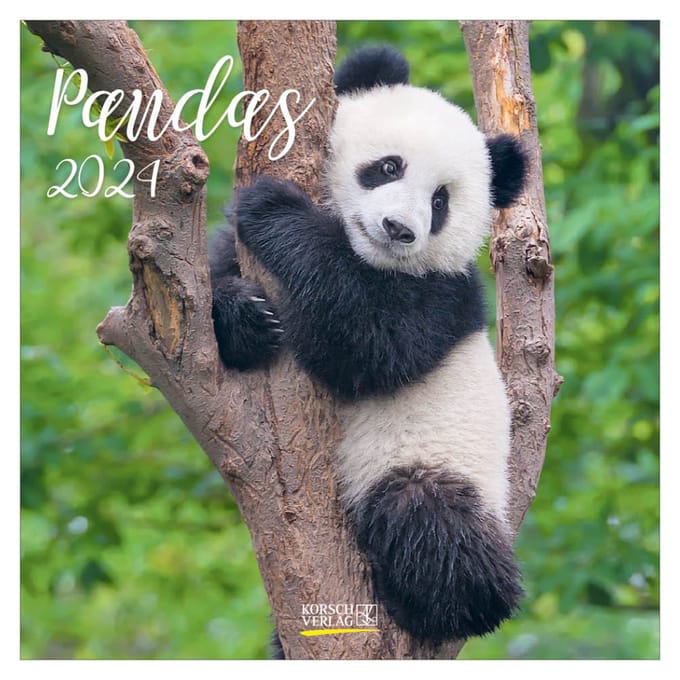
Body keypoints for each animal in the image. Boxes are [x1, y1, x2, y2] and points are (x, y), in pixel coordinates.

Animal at [210, 45, 528, 646]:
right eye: (388, 167)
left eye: (440, 201)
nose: (399, 228)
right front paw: (246, 318)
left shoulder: (444, 296)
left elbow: (369, 343)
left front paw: (274, 209)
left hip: (435, 462)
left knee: (430, 523)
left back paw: (445, 603)